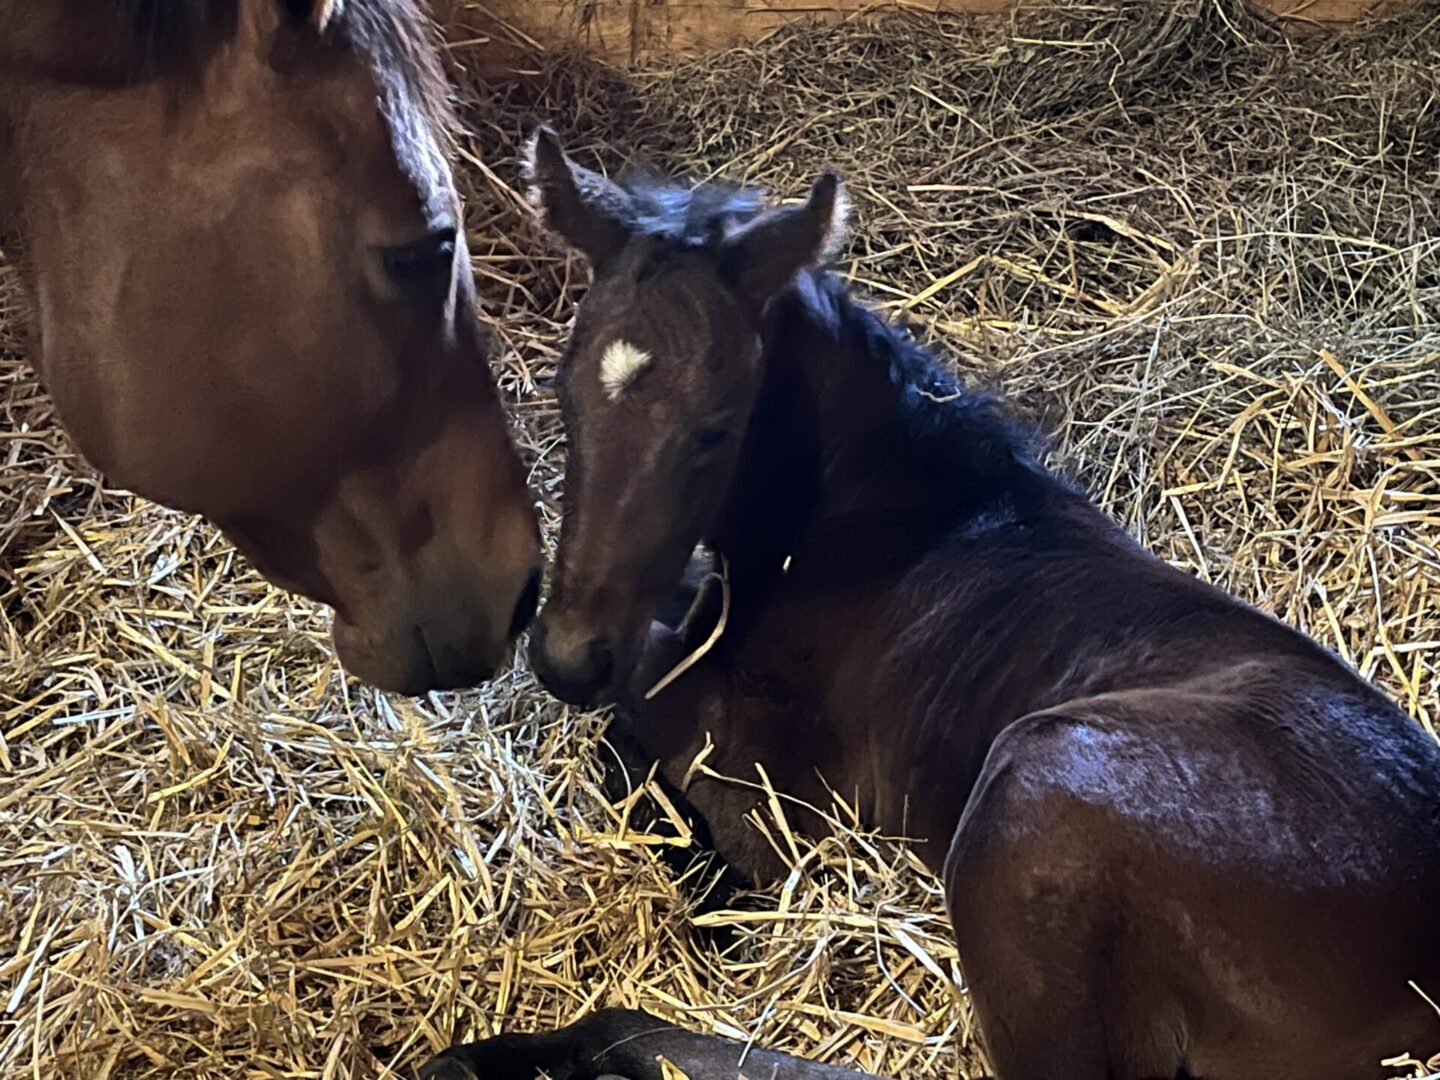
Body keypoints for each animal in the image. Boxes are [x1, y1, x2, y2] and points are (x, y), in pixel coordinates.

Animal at [420, 128, 1440, 1080]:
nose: (566, 657)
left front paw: (703, 888)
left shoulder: (774, 810)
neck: (872, 514)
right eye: (563, 391)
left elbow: (632, 756)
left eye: (714, 427)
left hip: (1033, 789)